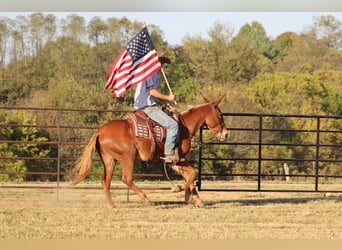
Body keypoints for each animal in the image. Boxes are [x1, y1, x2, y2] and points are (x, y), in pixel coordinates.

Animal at [72, 96, 227, 208]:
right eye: (220, 115)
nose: (225, 133)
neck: (184, 127)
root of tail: (100, 131)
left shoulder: (175, 161)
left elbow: (191, 175)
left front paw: (198, 201)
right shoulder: (177, 160)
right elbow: (192, 175)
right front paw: (177, 188)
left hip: (109, 160)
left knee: (105, 181)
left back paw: (112, 205)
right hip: (127, 157)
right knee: (126, 178)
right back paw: (147, 200)